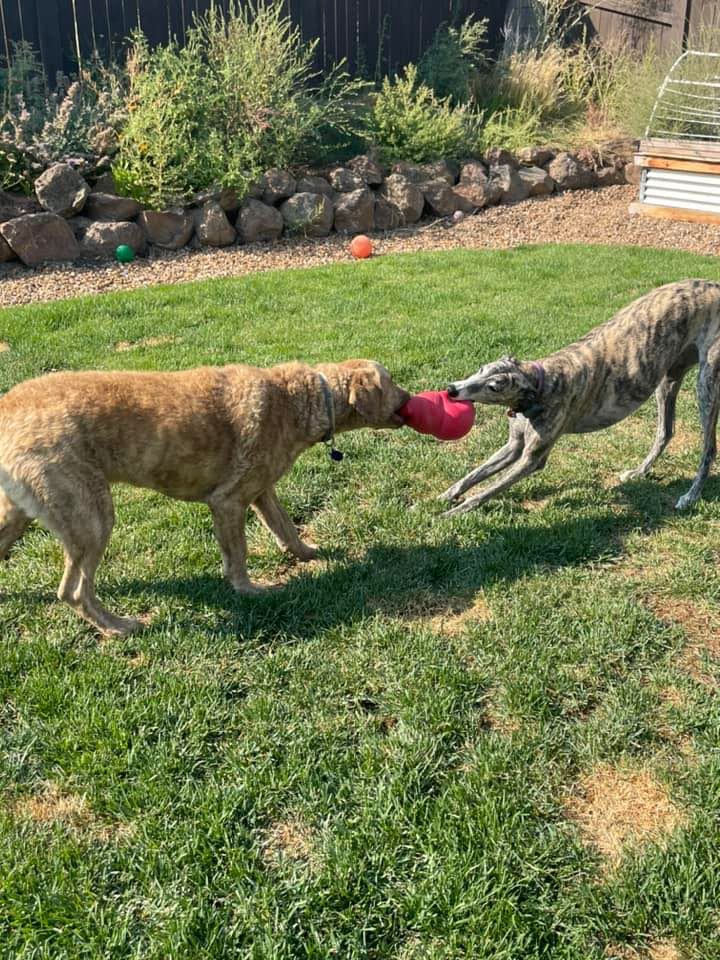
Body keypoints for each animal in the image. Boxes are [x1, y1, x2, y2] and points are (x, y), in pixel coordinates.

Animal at [0, 360, 408, 636]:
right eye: (391, 382)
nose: (411, 398)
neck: (301, 399)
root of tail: (8, 408)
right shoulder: (229, 502)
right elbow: (238, 556)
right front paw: (249, 591)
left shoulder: (262, 491)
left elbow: (287, 529)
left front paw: (308, 553)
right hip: (93, 519)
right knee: (73, 591)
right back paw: (118, 626)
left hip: (18, 515)